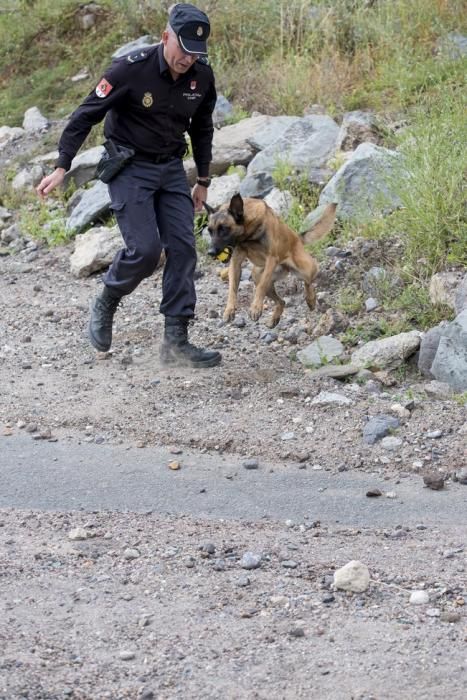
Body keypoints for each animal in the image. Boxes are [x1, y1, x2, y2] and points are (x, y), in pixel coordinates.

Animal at [205, 194, 336, 328]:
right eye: (210, 231)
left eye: (224, 229)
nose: (210, 252)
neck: (248, 234)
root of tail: (297, 238)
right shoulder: (236, 262)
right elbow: (232, 289)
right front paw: (229, 310)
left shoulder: (271, 259)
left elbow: (261, 287)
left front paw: (255, 308)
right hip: (257, 275)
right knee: (281, 301)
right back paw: (275, 318)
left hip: (305, 269)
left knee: (308, 281)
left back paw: (310, 299)